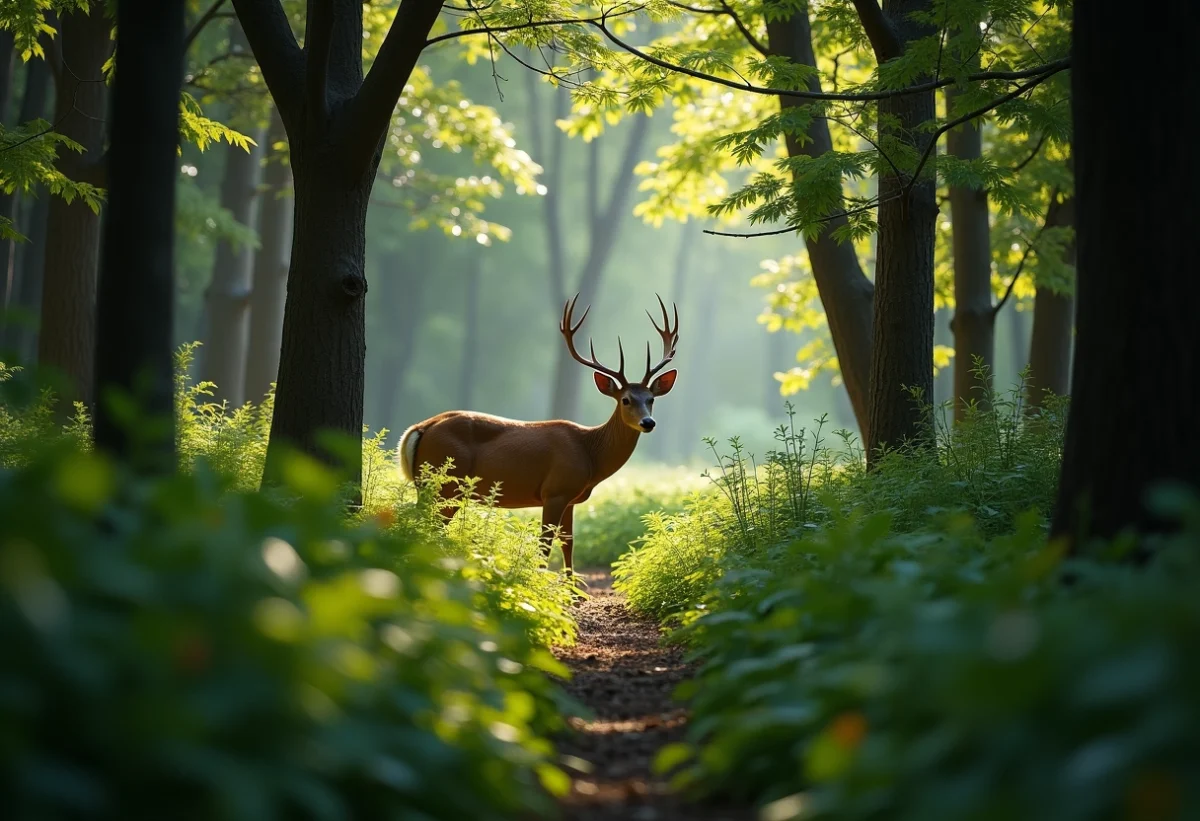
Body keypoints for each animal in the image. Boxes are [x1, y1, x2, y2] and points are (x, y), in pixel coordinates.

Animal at [393, 292, 676, 571]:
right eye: (626, 399)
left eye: (651, 399)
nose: (648, 422)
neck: (589, 452)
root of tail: (419, 428)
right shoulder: (555, 490)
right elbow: (545, 545)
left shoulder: (571, 498)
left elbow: (568, 543)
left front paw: (572, 586)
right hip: (444, 482)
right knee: (428, 526)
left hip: (432, 485)